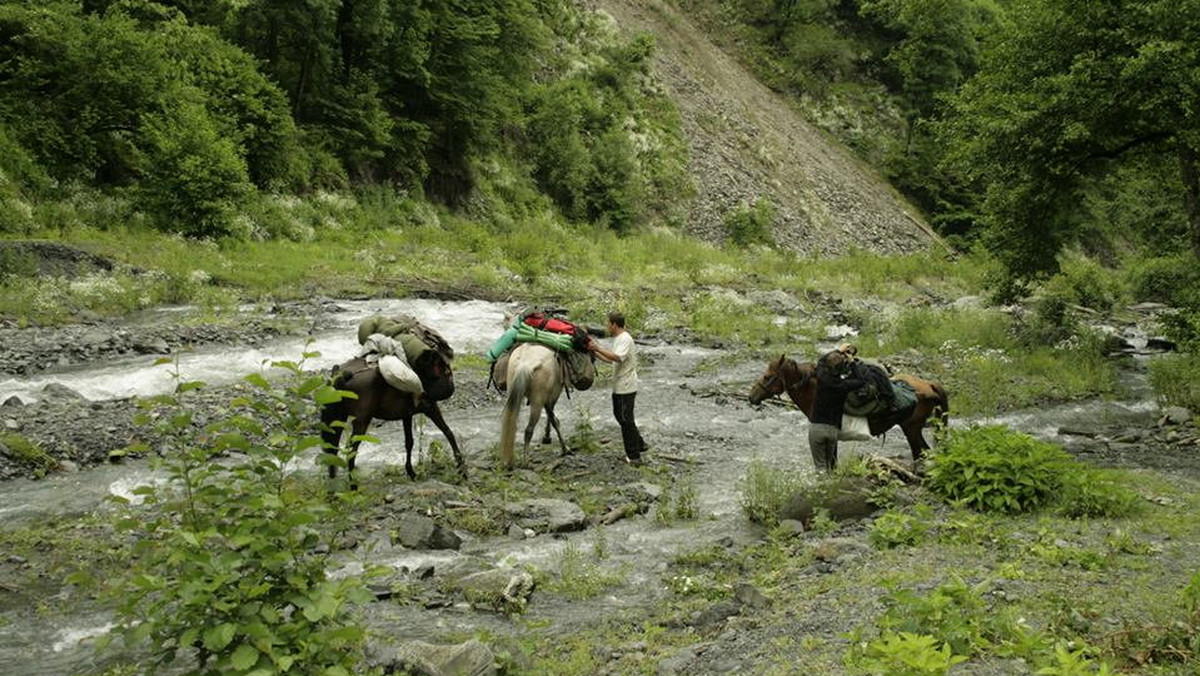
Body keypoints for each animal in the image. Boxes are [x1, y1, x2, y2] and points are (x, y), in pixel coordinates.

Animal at [319, 348, 463, 487]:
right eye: (447, 372)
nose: (451, 387)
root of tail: (342, 374)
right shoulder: (430, 407)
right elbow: (448, 433)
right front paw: (461, 468)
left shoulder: (407, 414)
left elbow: (409, 442)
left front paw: (411, 472)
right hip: (361, 420)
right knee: (351, 452)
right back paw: (353, 486)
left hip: (338, 418)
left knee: (332, 449)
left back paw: (333, 487)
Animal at [744, 355, 950, 461]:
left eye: (767, 376)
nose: (751, 397)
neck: (816, 391)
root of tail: (929, 385)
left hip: (911, 429)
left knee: (921, 453)